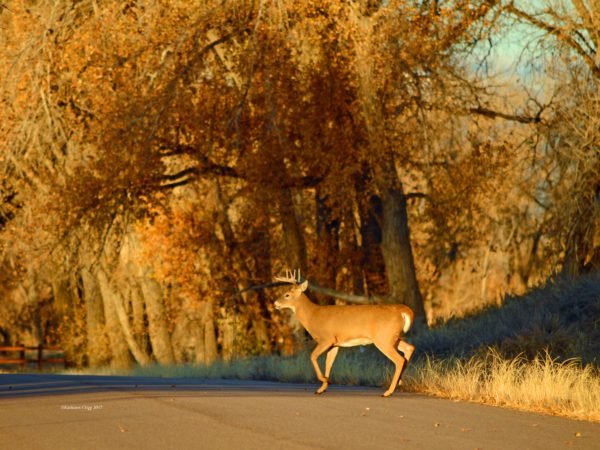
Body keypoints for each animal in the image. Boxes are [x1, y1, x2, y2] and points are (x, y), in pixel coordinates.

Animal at [274, 268, 414, 396]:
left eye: (287, 294)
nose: (275, 303)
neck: (313, 316)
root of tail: (401, 311)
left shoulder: (327, 338)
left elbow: (313, 356)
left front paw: (324, 380)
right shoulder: (335, 344)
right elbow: (328, 363)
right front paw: (322, 388)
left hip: (383, 338)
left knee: (399, 359)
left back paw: (388, 392)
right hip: (392, 337)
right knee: (409, 348)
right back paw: (399, 383)